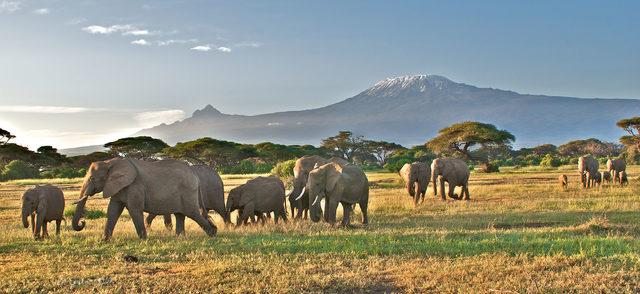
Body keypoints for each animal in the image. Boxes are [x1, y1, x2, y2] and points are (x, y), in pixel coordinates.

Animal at [72, 157, 218, 240]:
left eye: (92, 178)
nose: (82, 222)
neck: (110, 163)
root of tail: (196, 176)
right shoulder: (117, 186)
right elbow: (113, 210)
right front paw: (105, 241)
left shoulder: (135, 185)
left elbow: (134, 209)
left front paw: (143, 240)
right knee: (180, 214)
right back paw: (180, 238)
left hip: (187, 192)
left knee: (192, 213)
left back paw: (213, 234)